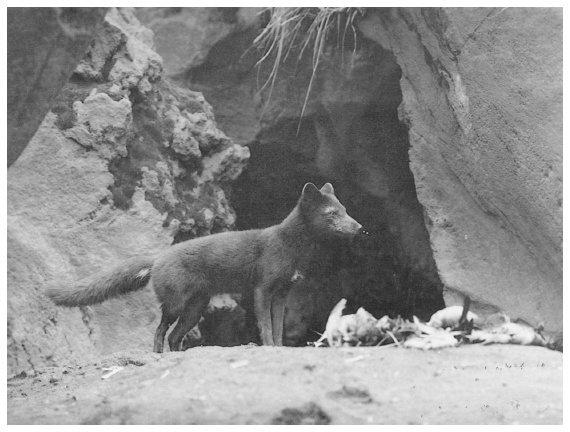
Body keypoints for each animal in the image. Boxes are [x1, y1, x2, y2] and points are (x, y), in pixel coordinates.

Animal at [46, 181, 362, 352]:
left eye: (346, 209)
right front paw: (269, 347)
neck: (290, 248)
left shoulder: (284, 292)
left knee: (174, 336)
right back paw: (158, 356)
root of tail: (159, 257)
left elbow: (278, 326)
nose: (360, 228)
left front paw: (280, 347)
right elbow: (264, 326)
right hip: (176, 305)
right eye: (332, 213)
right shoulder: (262, 288)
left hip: (195, 308)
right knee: (160, 331)